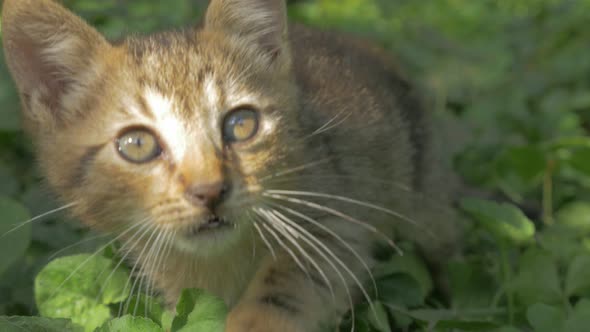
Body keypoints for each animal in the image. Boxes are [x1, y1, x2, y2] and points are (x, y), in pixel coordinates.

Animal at [1, 0, 462, 330]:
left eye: (241, 124)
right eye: (137, 144)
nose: (210, 191)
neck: (220, 261)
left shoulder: (334, 212)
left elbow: (290, 282)